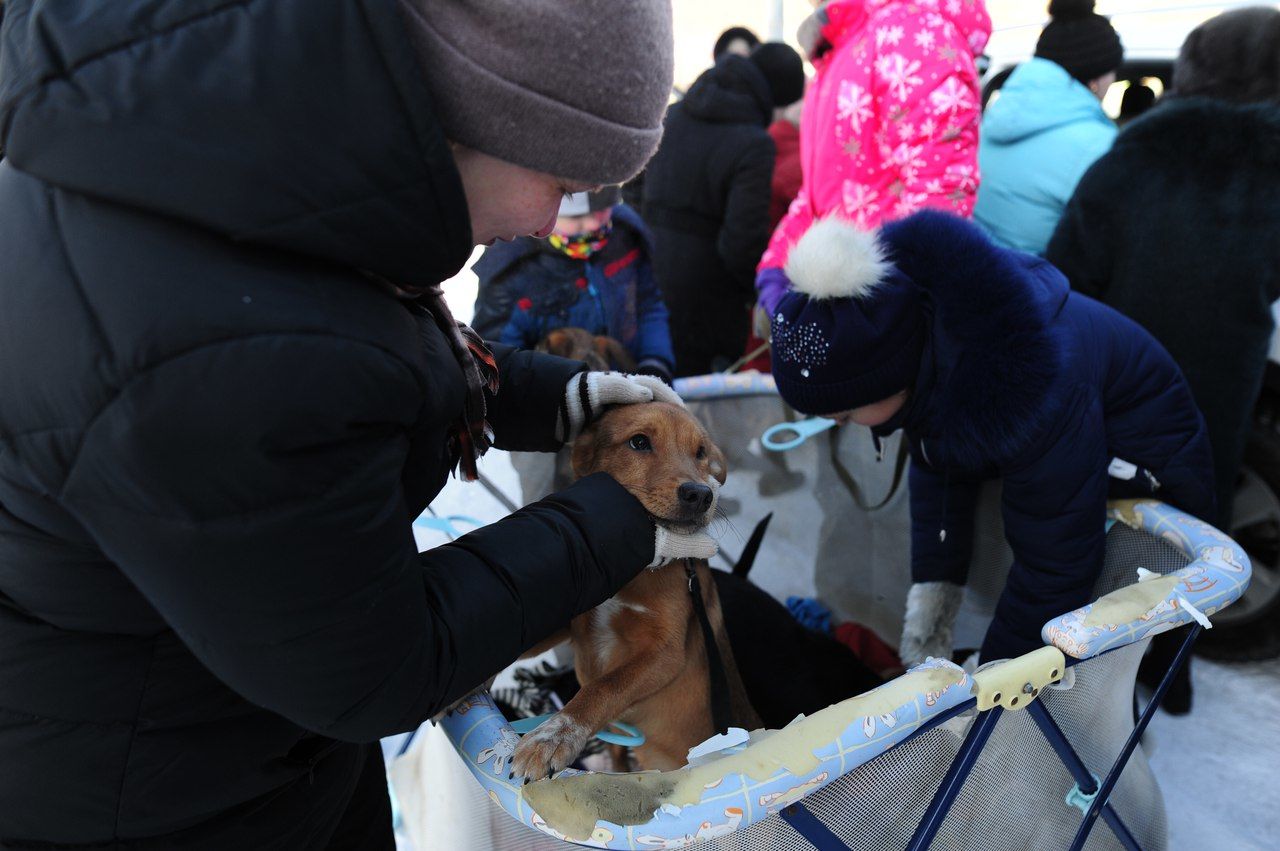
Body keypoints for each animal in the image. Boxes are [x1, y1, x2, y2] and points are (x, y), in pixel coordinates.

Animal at [506, 401, 757, 778]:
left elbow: (605, 686)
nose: (702, 494)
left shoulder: (666, 653)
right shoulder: (574, 620)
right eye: (639, 442)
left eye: (700, 452)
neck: (630, 572)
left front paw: (552, 735)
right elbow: (524, 643)